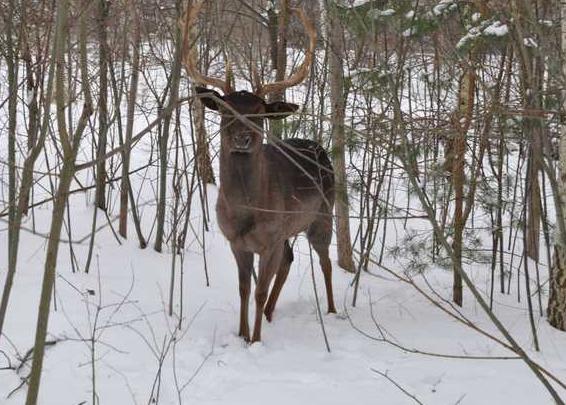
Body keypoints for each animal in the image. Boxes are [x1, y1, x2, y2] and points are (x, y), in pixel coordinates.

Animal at [181, 1, 336, 343]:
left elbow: (259, 291)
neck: (246, 212)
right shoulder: (237, 242)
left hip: (323, 213)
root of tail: (318, 147)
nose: (243, 138)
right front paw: (241, 334)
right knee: (289, 261)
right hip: (290, 229)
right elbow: (243, 290)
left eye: (259, 112)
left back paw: (332, 312)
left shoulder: (271, 238)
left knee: (326, 261)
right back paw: (269, 315)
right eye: (226, 109)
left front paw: (254, 340)